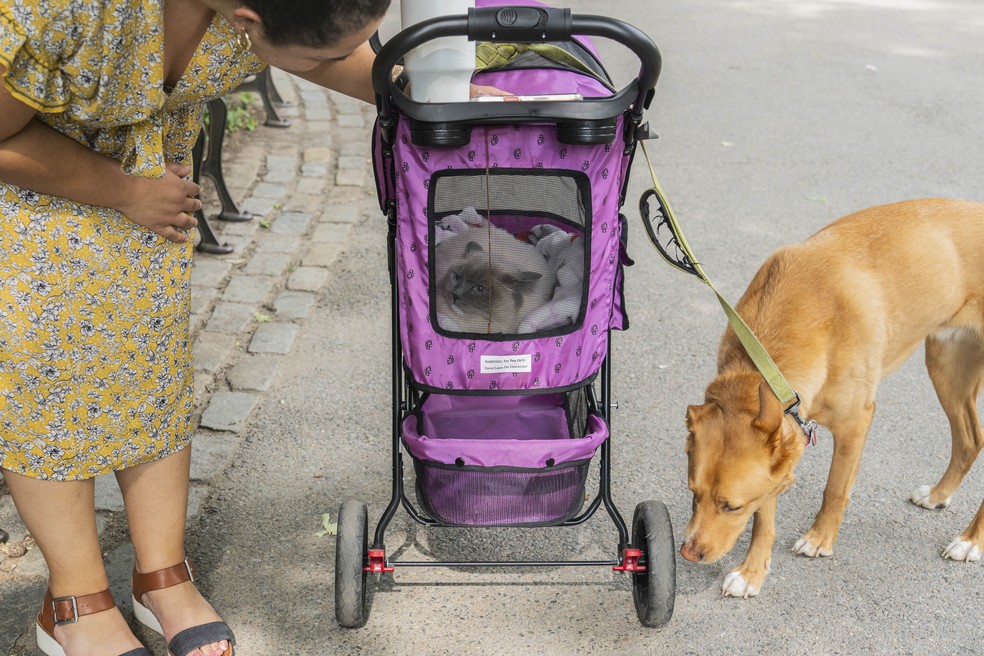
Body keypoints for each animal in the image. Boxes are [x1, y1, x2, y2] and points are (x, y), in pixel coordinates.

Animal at [680, 197, 984, 596]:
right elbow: (764, 517)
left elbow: (835, 488)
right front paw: (752, 572)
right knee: (971, 439)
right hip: (945, 364)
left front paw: (819, 539)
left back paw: (971, 541)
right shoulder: (785, 437)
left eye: (730, 506)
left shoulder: (855, 422)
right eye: (693, 493)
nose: (687, 553)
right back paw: (938, 495)